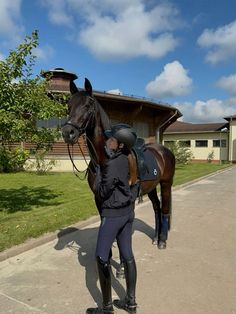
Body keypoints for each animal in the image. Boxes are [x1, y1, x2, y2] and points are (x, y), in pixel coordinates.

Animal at [60, 78, 175, 250]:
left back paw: (162, 240)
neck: (104, 159)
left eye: (88, 105)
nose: (68, 133)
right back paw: (155, 237)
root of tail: (164, 151)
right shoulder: (99, 198)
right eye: (69, 105)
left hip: (166, 183)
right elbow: (105, 223)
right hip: (152, 186)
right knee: (157, 207)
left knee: (165, 210)